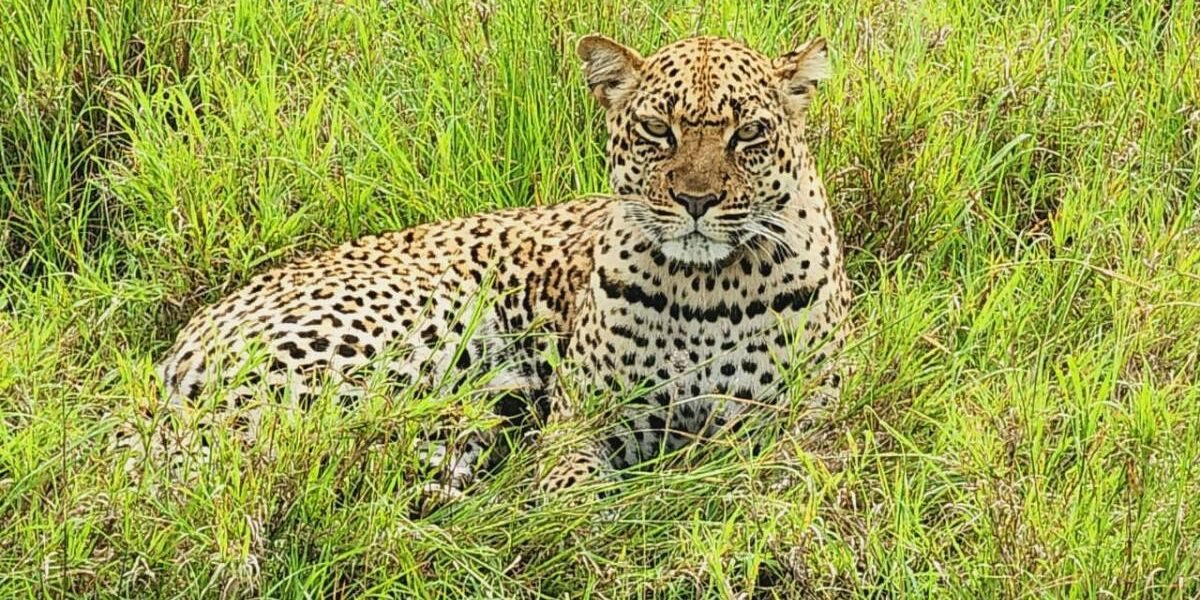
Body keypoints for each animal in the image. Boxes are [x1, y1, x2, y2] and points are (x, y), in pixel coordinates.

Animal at [130, 33, 851, 500]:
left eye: (748, 134)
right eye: (656, 130)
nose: (696, 201)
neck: (707, 286)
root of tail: (181, 345)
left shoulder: (812, 419)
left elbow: (789, 478)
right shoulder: (585, 421)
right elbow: (568, 491)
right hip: (400, 333)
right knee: (272, 454)